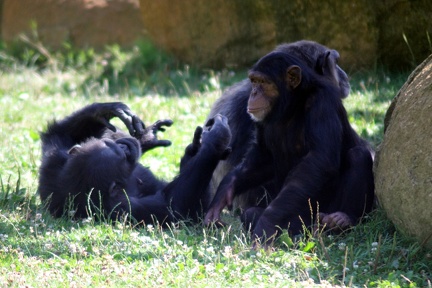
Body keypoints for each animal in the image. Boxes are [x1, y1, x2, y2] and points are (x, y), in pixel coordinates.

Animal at [38, 102, 231, 224]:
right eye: (123, 156)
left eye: (108, 143)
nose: (124, 145)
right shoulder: (126, 209)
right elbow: (177, 208)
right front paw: (215, 139)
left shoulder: (53, 163)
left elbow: (59, 134)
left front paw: (106, 110)